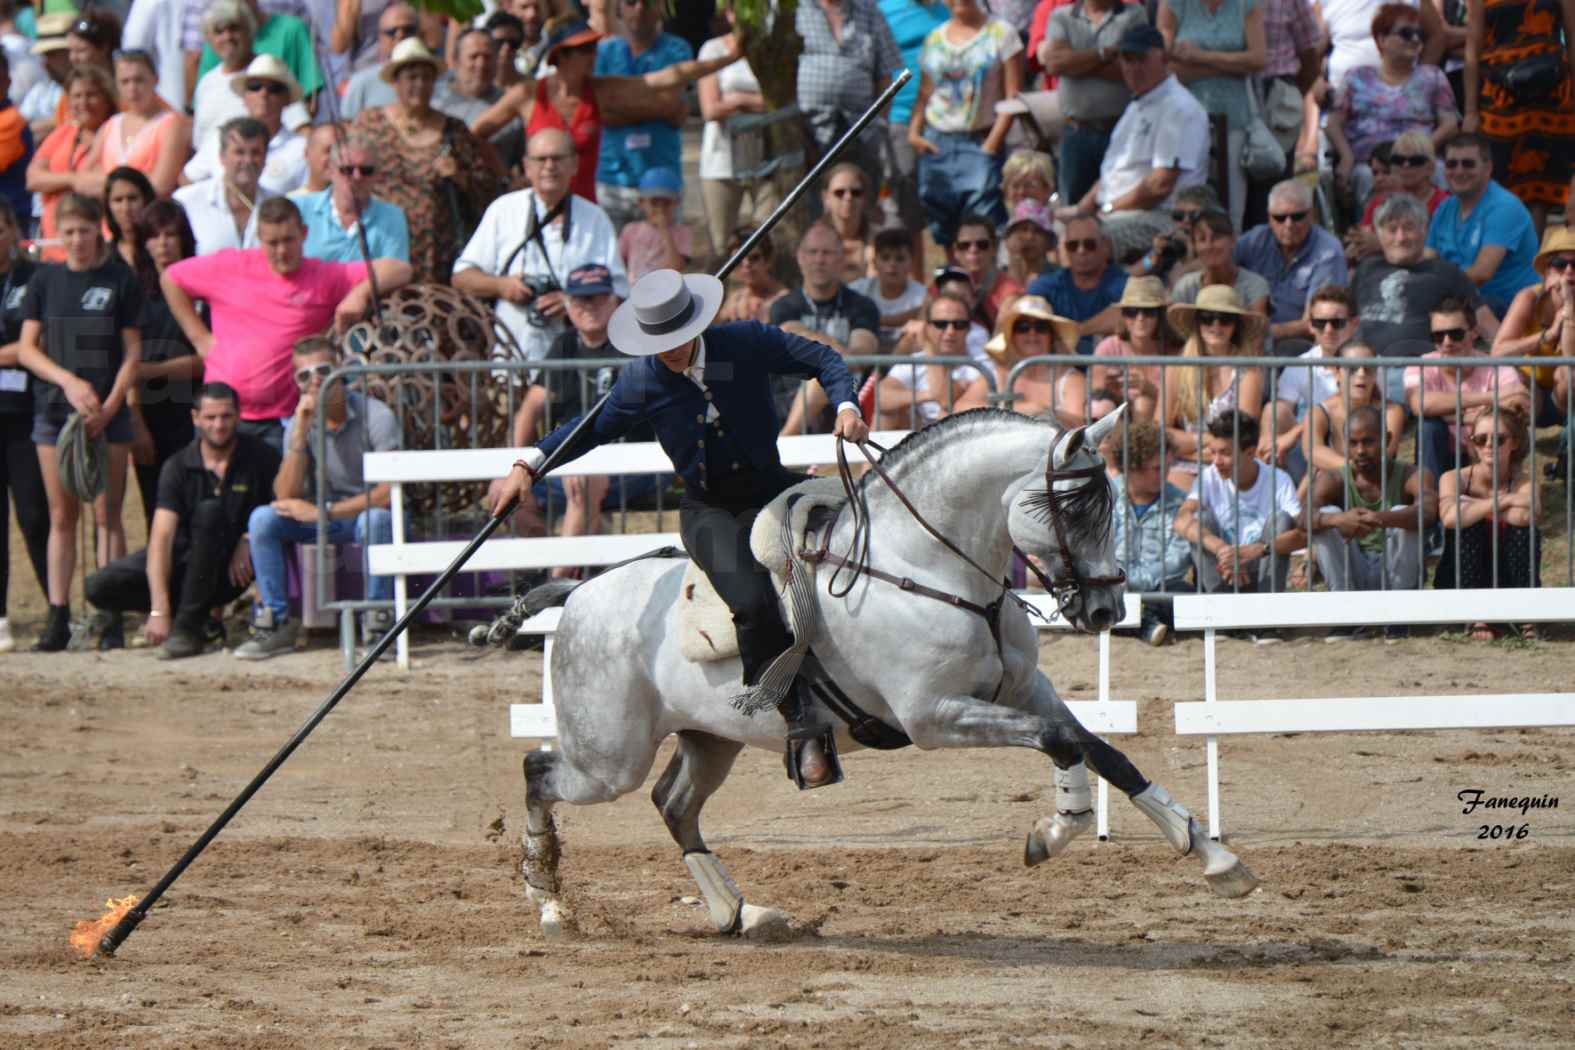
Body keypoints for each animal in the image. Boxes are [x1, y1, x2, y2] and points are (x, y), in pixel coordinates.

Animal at [500, 406, 1253, 938]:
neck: (930, 570)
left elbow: (1101, 750)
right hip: (609, 758)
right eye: (1071, 507)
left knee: (673, 805)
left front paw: (1215, 859)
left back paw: (739, 914)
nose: (1104, 609)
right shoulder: (933, 717)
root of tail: (578, 591)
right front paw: (1053, 831)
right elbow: (1061, 742)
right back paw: (549, 904)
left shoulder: (1023, 691)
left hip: (708, 740)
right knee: (540, 772)